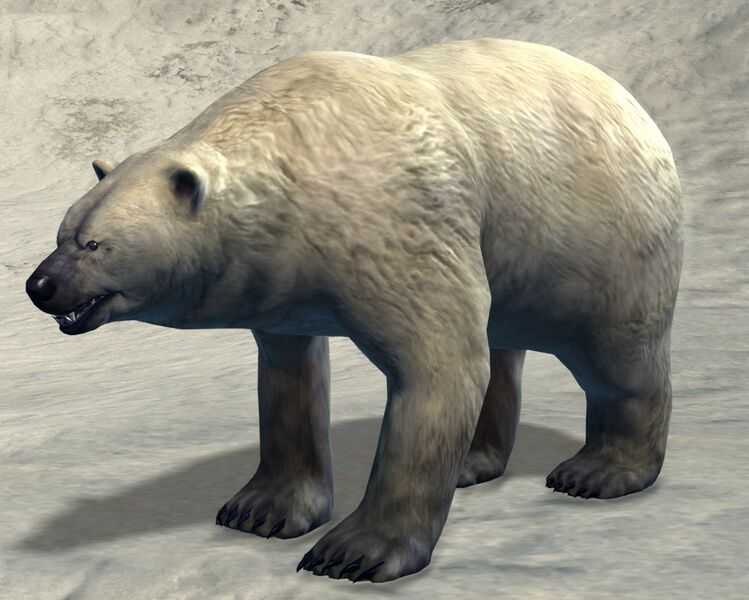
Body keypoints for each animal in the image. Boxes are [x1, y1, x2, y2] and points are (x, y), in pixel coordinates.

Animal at [26, 38, 683, 583]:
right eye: (63, 230)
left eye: (95, 244)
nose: (39, 285)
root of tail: (636, 106)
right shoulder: (283, 286)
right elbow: (288, 380)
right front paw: (261, 509)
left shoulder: (401, 226)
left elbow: (437, 369)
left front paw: (353, 552)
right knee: (501, 347)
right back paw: (473, 461)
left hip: (603, 239)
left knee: (618, 356)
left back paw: (598, 471)